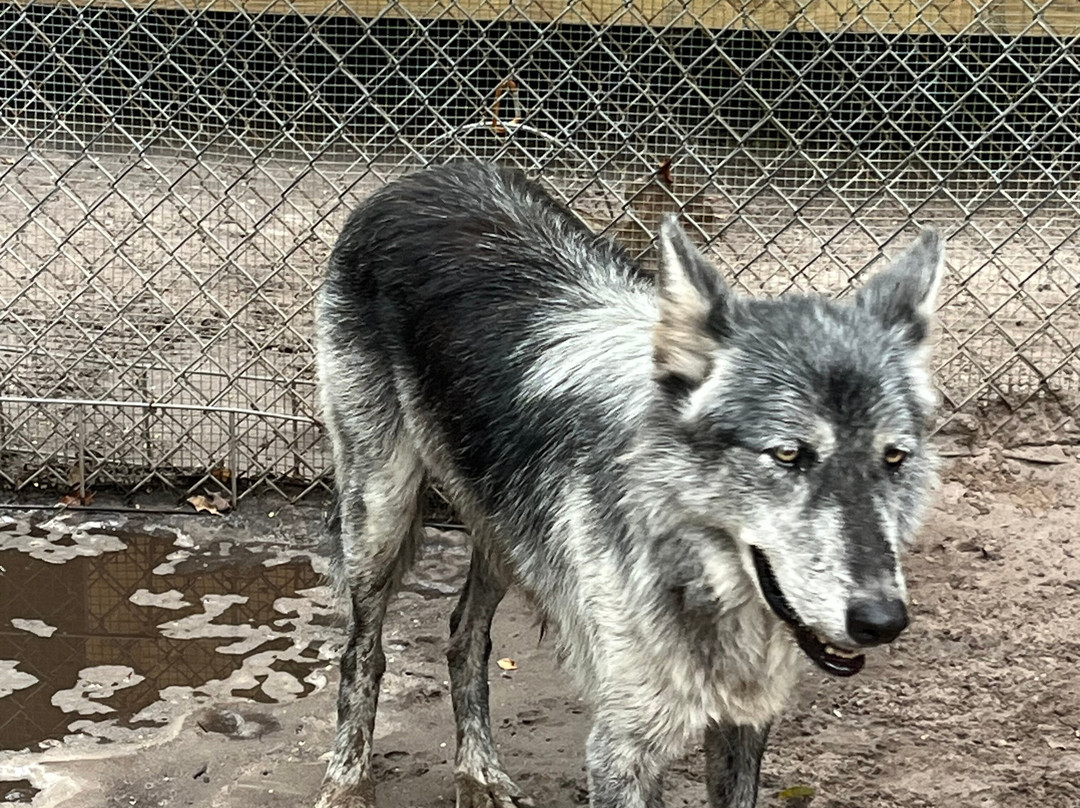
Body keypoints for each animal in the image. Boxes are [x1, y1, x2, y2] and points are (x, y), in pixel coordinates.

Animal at [313, 161, 943, 808]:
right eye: (789, 455)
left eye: (894, 458)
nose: (881, 621)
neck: (697, 577)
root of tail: (425, 175)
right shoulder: (621, 748)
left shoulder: (744, 720)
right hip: (381, 514)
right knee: (362, 653)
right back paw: (348, 783)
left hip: (502, 533)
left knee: (465, 637)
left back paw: (480, 773)